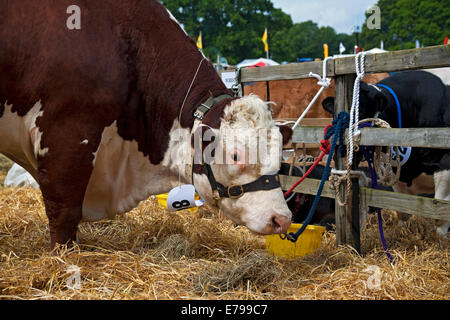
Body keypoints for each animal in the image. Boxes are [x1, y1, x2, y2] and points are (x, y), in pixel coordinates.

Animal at [0, 0, 292, 250]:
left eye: (280, 156)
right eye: (235, 156)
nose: (282, 218)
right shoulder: (67, 135)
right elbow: (64, 211)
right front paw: (63, 258)